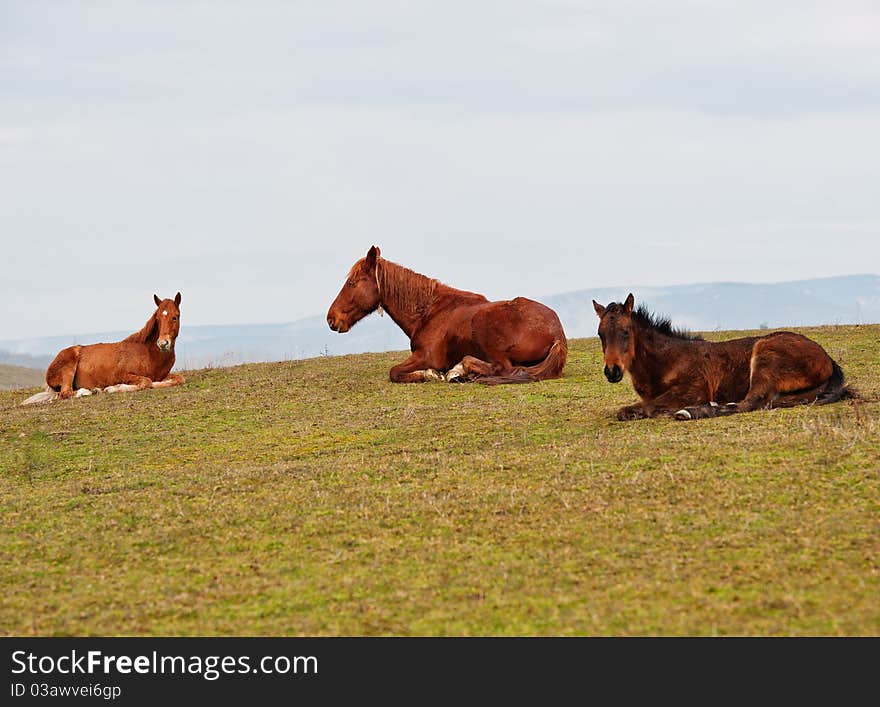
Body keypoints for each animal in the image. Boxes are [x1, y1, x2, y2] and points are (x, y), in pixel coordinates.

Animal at [21, 292, 186, 404]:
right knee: (65, 393)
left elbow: (179, 379)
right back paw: (90, 391)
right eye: (158, 319)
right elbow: (146, 382)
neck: (149, 354)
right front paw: (113, 388)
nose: (163, 343)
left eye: (175, 317)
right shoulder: (123, 374)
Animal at [326, 246, 568, 384]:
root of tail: (557, 333)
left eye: (352, 283)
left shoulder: (426, 356)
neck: (429, 311)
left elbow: (394, 372)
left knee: (503, 368)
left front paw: (430, 374)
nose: (331, 318)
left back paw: (459, 372)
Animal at [592, 292, 852, 420]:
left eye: (626, 332)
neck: (665, 362)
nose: (612, 371)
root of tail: (828, 359)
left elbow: (636, 408)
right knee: (766, 402)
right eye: (600, 334)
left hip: (764, 357)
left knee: (750, 402)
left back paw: (692, 412)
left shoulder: (693, 390)